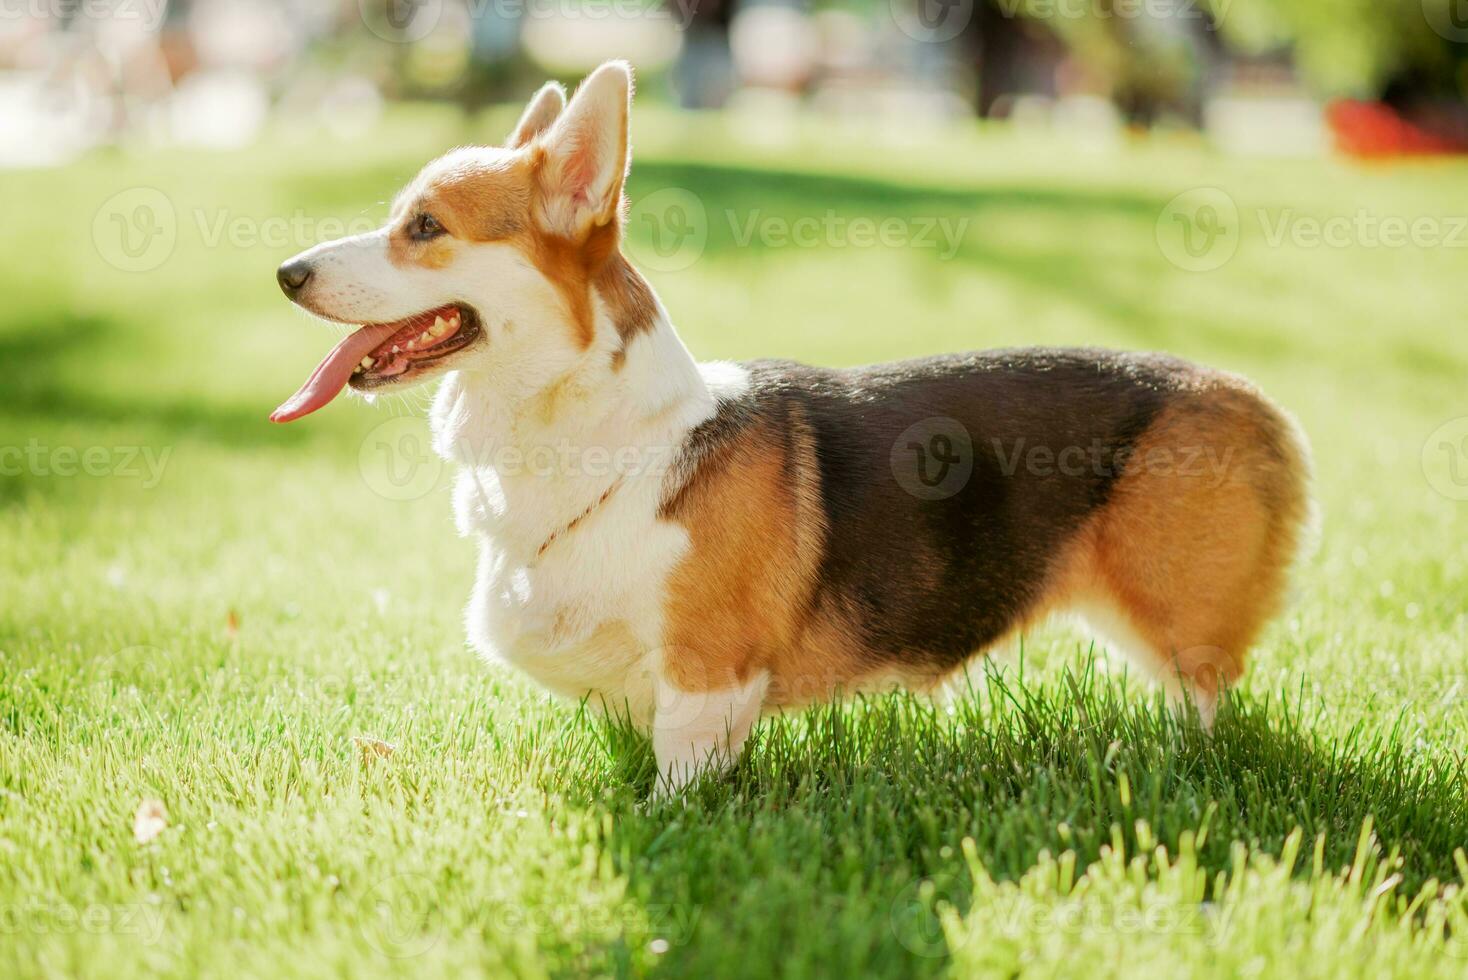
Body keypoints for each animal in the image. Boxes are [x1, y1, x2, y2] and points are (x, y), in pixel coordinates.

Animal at [273, 61, 1309, 792]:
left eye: (426, 228)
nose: (286, 272)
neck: (601, 439)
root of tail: (1250, 396)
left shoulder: (709, 681)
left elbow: (679, 789)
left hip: (1178, 618)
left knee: (1207, 703)